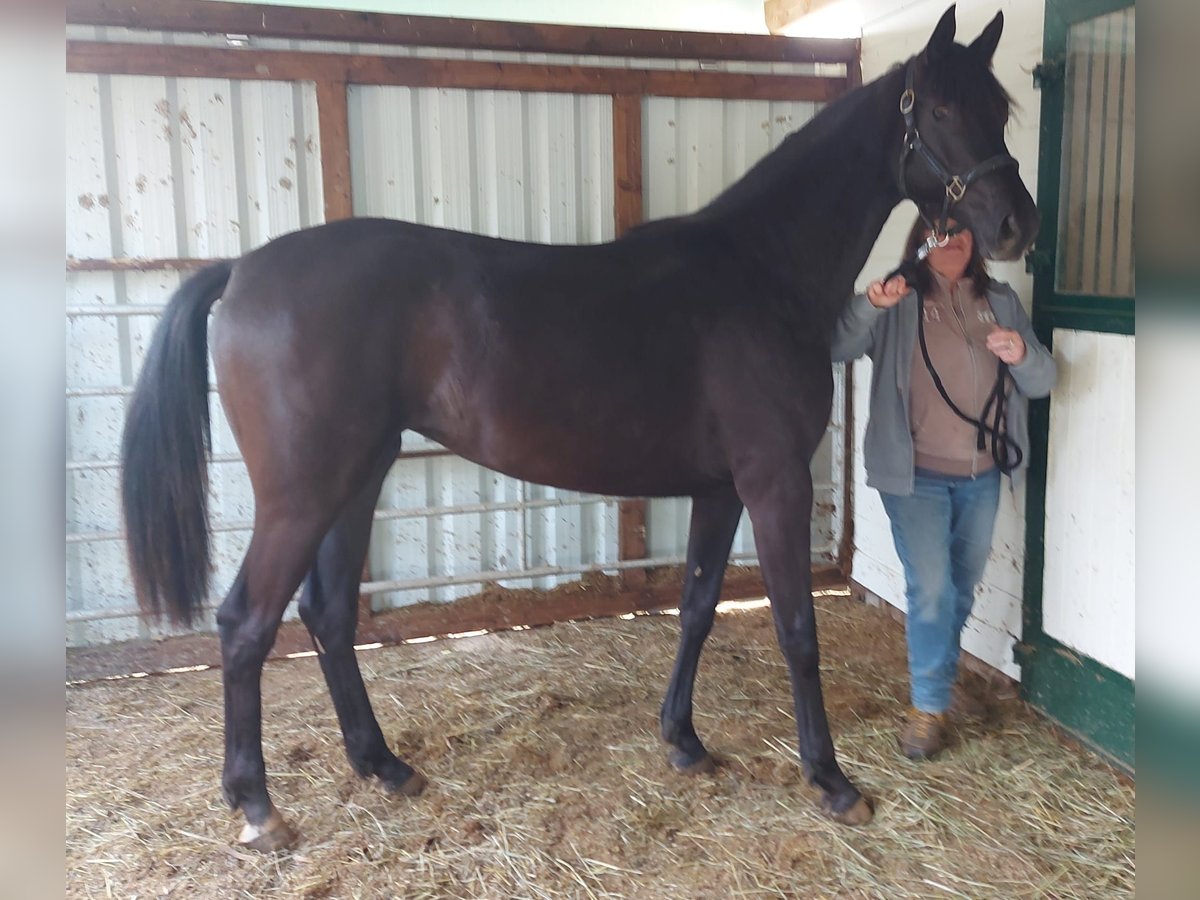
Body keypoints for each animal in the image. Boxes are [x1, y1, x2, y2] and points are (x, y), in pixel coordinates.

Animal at [124, 8, 1041, 854]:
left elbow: (698, 606)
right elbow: (795, 628)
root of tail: (242, 272)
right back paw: (257, 806)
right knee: (246, 624)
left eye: (1001, 108)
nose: (1014, 226)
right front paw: (831, 778)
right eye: (943, 110)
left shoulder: (721, 488)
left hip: (358, 477)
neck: (761, 272)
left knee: (328, 614)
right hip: (303, 494)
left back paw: (383, 765)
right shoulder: (772, 480)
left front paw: (685, 742)